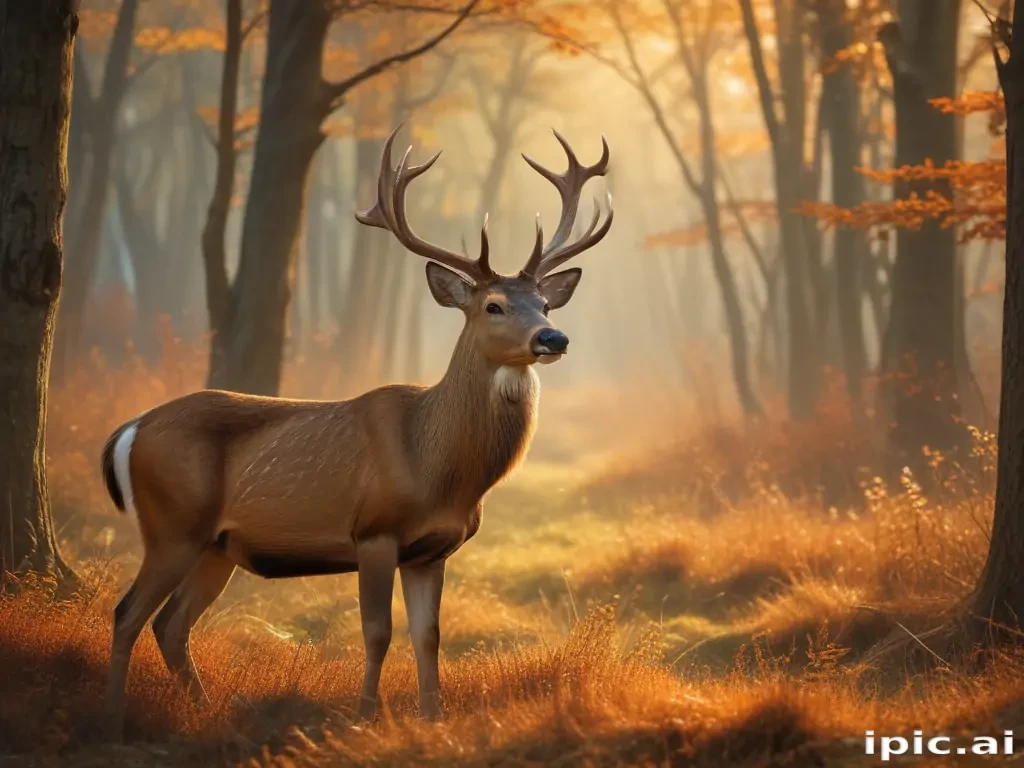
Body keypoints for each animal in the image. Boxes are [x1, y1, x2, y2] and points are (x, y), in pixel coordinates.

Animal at [99, 125, 612, 738]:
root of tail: (130, 428)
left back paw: (205, 713)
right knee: (127, 614)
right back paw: (111, 718)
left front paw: (432, 720)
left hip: (216, 545)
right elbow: (377, 632)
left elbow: (429, 636)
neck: (437, 466)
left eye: (542, 303)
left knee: (171, 625)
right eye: (493, 305)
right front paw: (367, 716)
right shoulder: (374, 531)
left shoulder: (431, 550)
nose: (552, 338)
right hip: (172, 524)